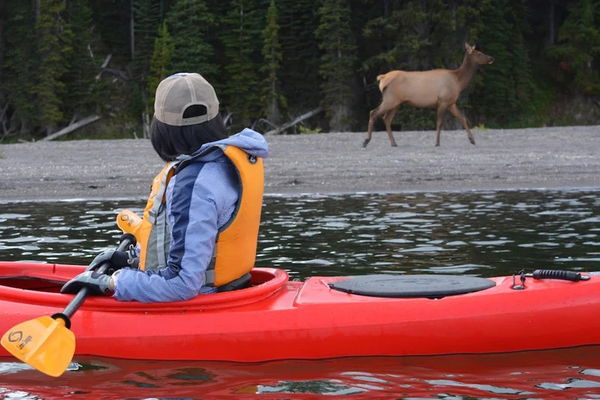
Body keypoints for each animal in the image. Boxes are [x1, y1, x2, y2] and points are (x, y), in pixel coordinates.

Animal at [363, 43, 494, 148]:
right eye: (478, 53)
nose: (491, 58)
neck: (458, 82)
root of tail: (382, 78)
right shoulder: (443, 101)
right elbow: (439, 123)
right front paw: (437, 143)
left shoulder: (451, 102)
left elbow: (463, 118)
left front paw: (472, 140)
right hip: (390, 99)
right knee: (373, 112)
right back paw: (366, 141)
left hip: (396, 102)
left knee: (386, 118)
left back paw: (393, 143)